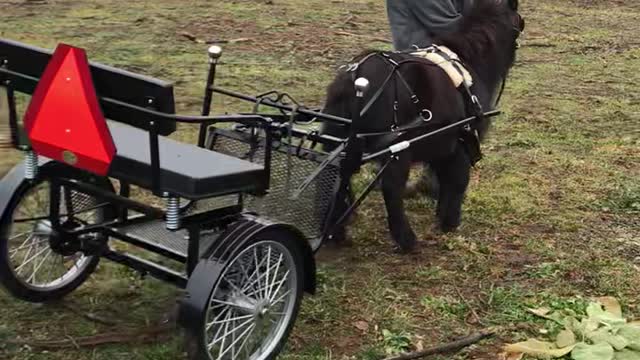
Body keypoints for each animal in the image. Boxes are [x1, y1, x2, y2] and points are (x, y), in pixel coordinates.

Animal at [320, 0, 524, 253]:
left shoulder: (442, 146)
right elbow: (458, 181)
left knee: (333, 180)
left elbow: (443, 179)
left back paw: (334, 230)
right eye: (519, 22)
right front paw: (450, 222)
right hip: (398, 152)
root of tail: (354, 78)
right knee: (391, 190)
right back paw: (406, 239)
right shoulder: (463, 143)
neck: (469, 61)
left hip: (338, 144)